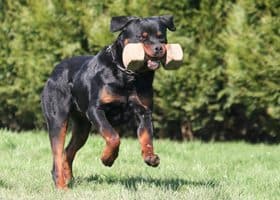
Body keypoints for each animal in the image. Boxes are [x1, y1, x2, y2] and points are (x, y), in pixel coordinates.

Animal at [40, 15, 176, 189]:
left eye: (161, 37)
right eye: (142, 37)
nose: (159, 48)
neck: (128, 75)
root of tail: (55, 70)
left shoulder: (144, 111)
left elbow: (146, 136)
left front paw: (150, 156)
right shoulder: (96, 110)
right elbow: (113, 136)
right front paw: (107, 158)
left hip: (82, 128)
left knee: (68, 151)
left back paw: (68, 178)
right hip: (58, 119)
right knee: (57, 152)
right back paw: (61, 186)